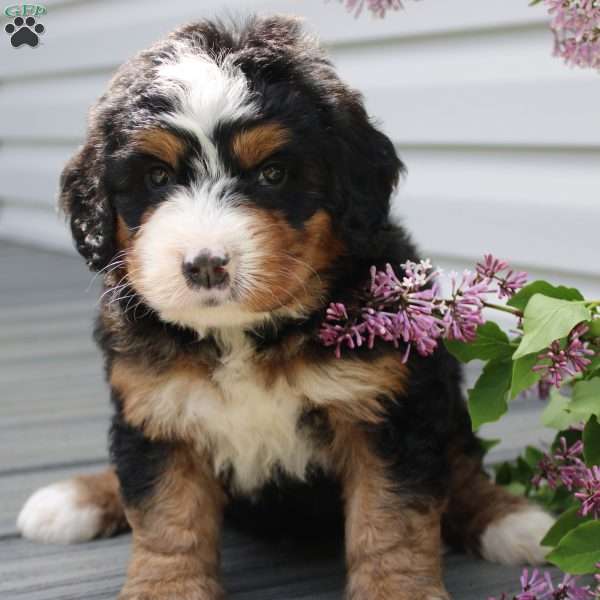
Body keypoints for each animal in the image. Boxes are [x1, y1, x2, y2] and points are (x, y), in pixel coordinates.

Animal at [18, 15, 552, 600]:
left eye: (272, 174)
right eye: (157, 178)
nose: (205, 265)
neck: (241, 334)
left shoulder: (390, 404)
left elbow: (392, 517)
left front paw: (395, 587)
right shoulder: (157, 409)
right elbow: (166, 518)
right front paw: (167, 587)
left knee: (461, 464)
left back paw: (513, 520)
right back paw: (73, 499)